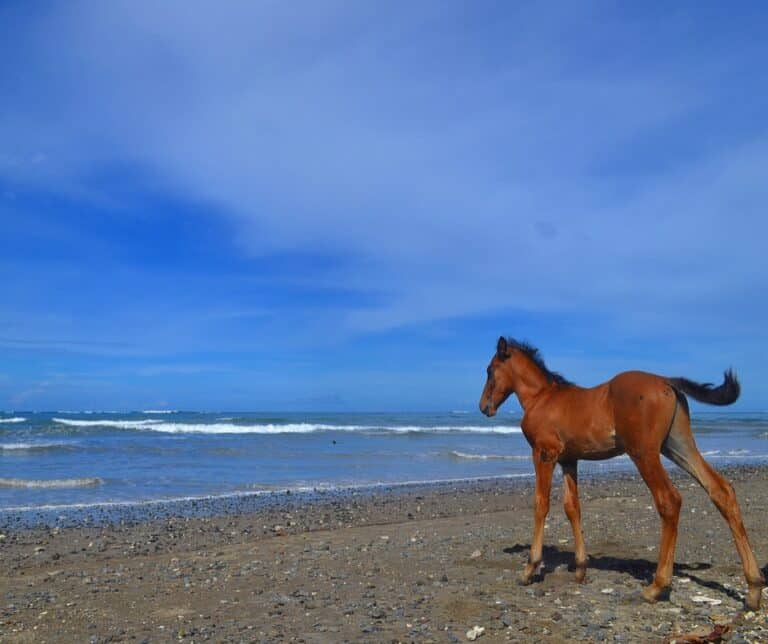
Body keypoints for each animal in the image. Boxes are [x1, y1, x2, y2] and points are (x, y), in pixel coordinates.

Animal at [476, 338, 764, 608]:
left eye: (490, 370)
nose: (483, 407)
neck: (542, 398)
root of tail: (667, 381)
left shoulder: (544, 453)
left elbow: (541, 504)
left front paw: (529, 569)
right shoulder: (569, 460)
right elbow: (572, 507)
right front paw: (580, 569)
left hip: (644, 452)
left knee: (669, 500)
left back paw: (656, 587)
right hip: (678, 446)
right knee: (720, 490)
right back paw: (753, 588)